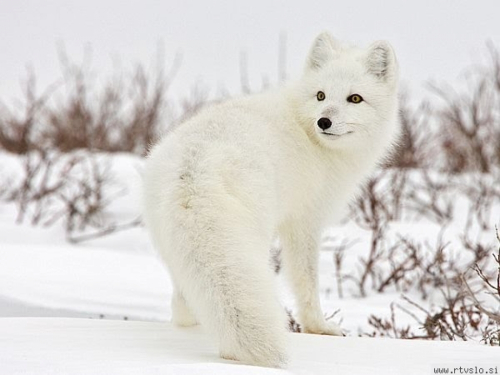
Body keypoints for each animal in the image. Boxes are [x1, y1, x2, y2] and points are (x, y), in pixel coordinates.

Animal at [143, 31, 400, 368]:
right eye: (321, 96)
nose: (324, 122)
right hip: (256, 240)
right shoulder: (305, 223)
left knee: (183, 301)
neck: (308, 135)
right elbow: (307, 283)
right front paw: (318, 327)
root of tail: (193, 168)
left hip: (174, 246)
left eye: (354, 98)